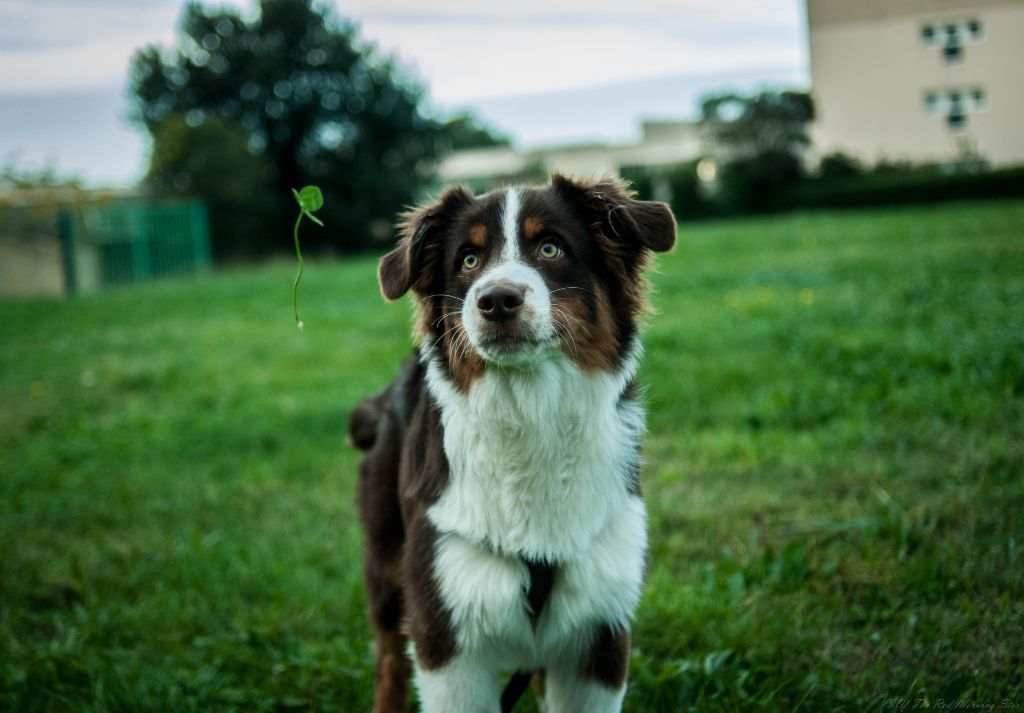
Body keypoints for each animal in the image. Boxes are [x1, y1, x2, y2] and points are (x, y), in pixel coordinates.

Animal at [348, 174, 675, 713]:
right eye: (468, 260)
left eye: (550, 248)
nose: (497, 300)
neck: (528, 412)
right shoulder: (445, 631)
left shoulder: (599, 632)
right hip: (386, 563)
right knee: (389, 659)